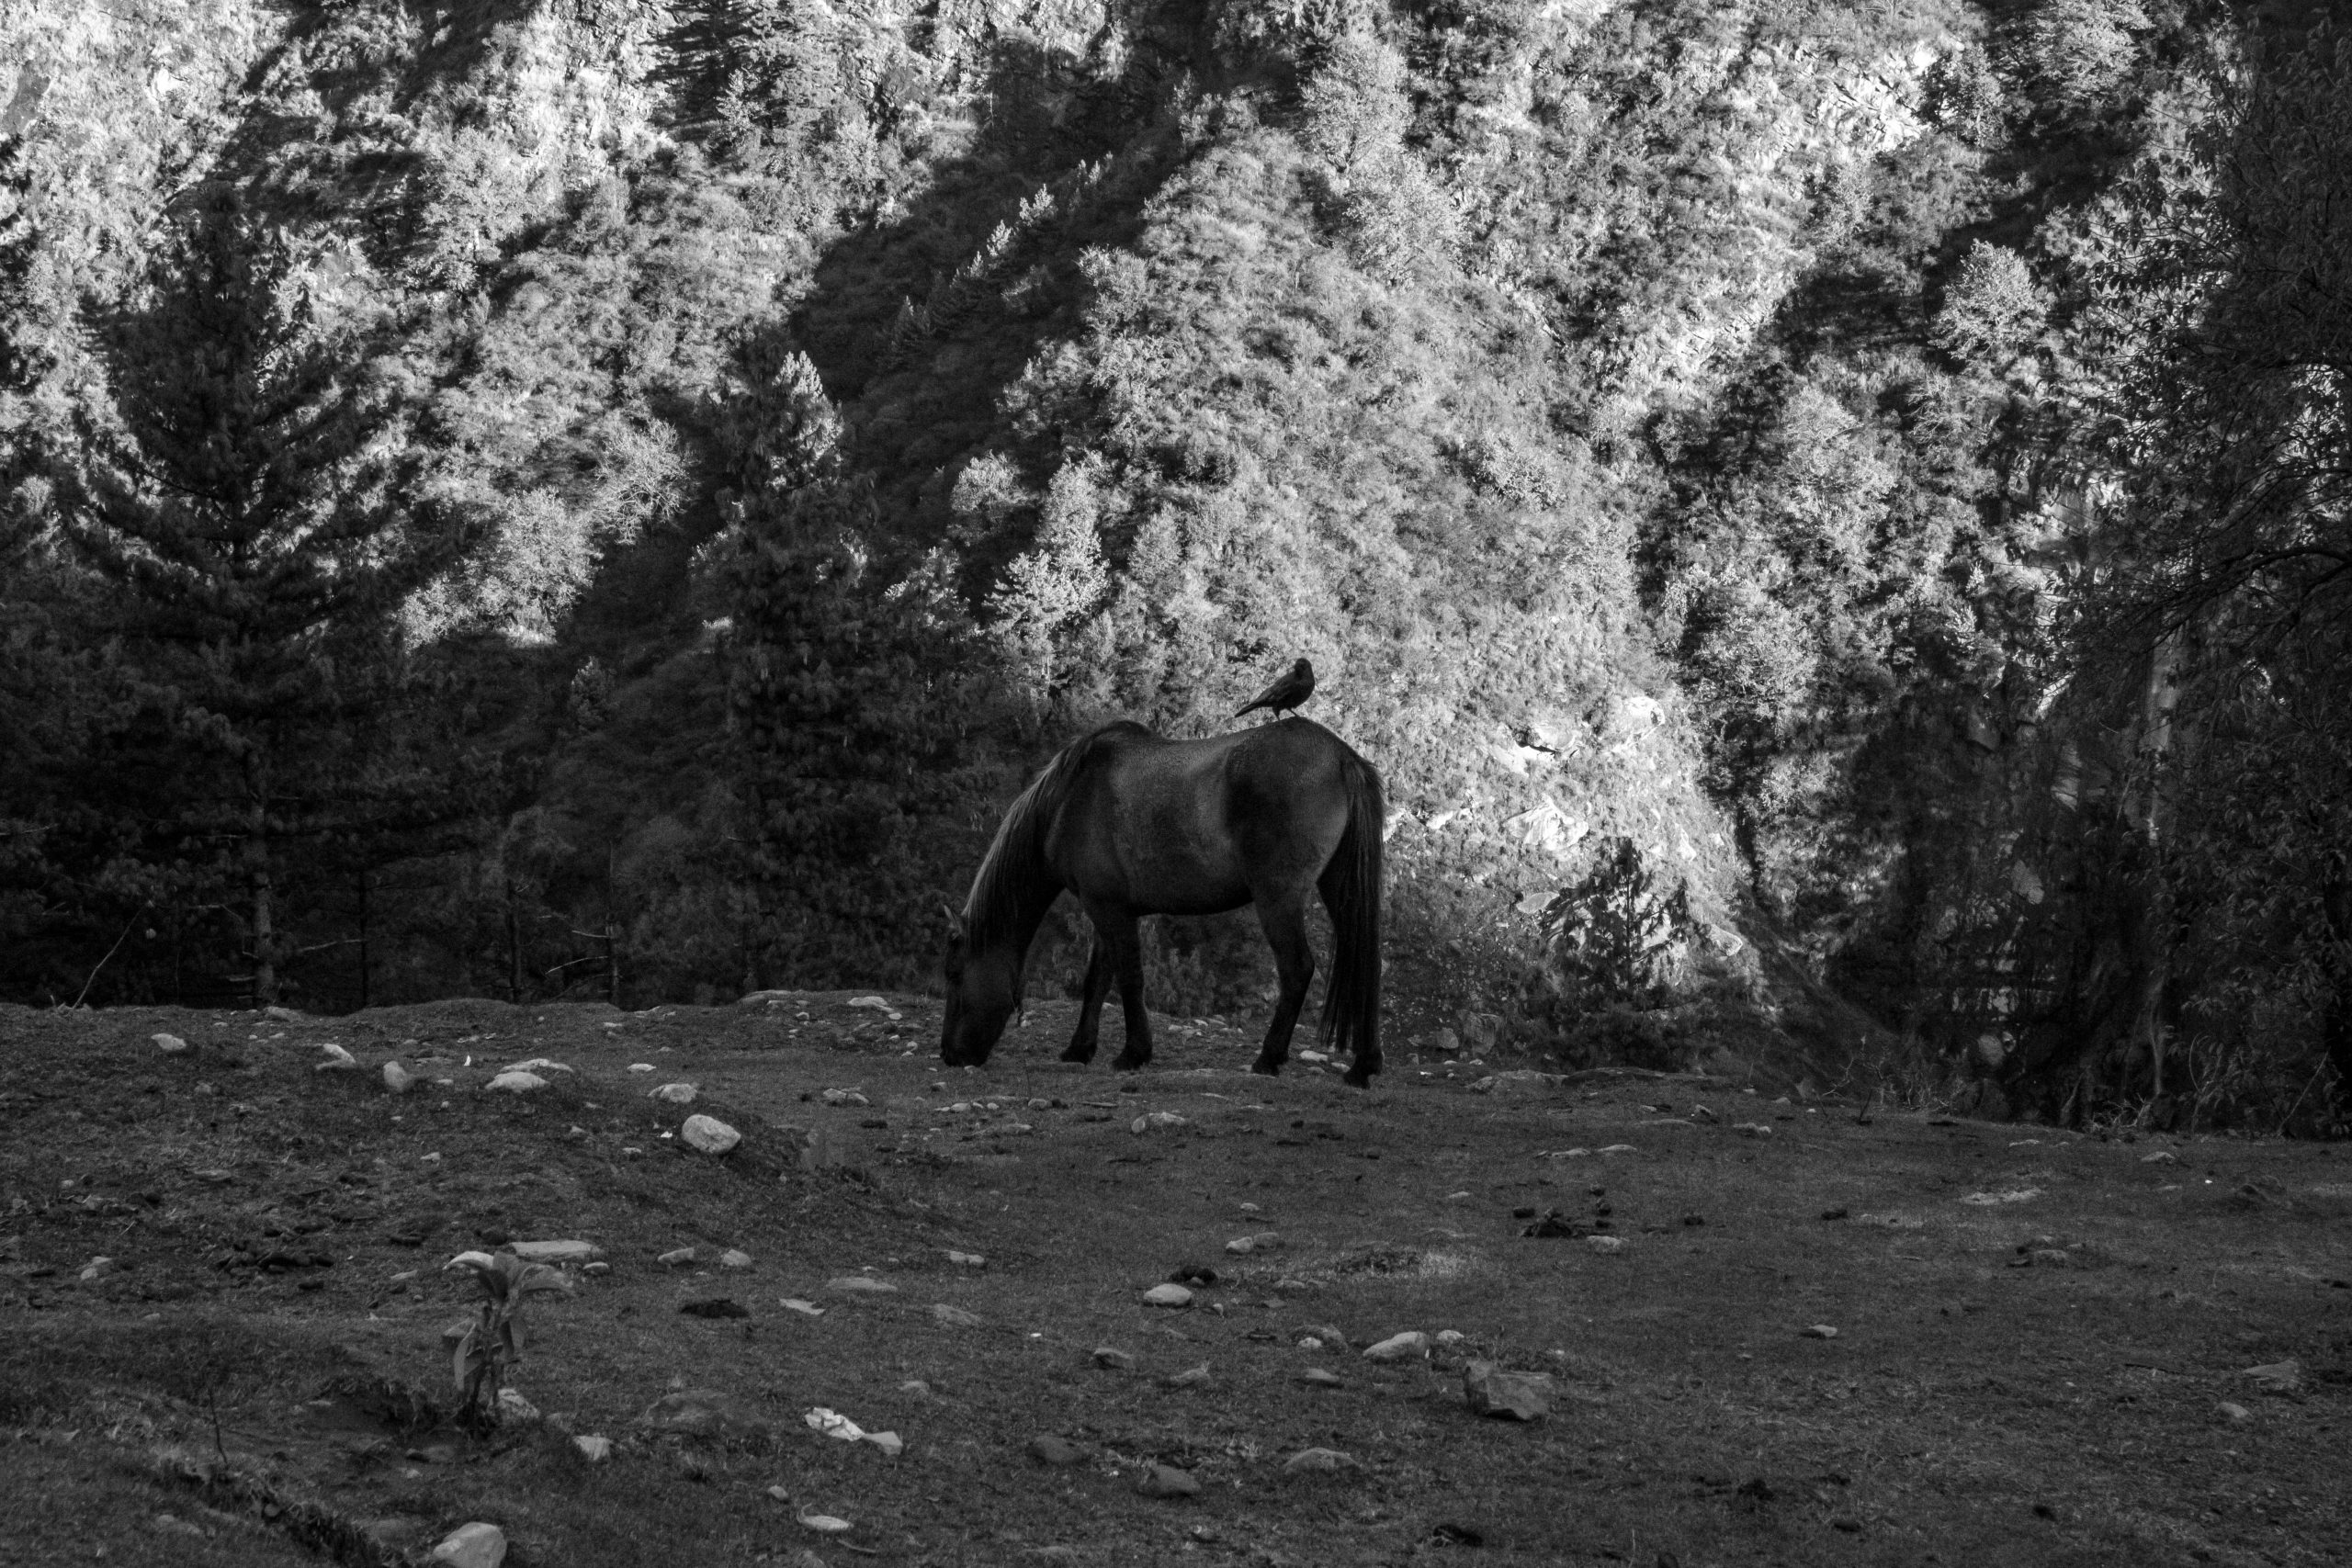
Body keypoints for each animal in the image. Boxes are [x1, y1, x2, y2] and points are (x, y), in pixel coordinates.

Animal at [935, 719, 1374, 1086]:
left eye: (955, 974)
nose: (949, 1055)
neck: (1069, 799)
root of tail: (1340, 756)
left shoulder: (1110, 910)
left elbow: (1129, 978)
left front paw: (1134, 1053)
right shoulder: (1106, 910)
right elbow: (1098, 979)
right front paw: (1080, 1049)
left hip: (1278, 900)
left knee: (1297, 970)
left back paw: (1269, 1058)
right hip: (1338, 892)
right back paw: (1364, 1066)